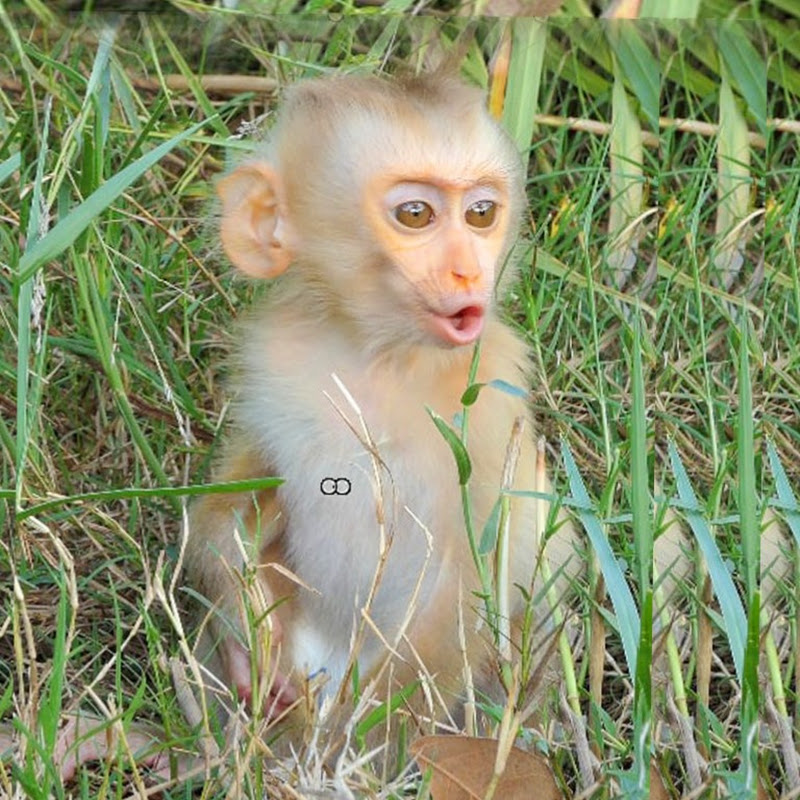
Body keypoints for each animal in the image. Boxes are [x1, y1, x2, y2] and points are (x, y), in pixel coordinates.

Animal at [184, 70, 580, 737]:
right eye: (415, 214)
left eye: (481, 213)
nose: (469, 273)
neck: (380, 359)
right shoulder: (273, 361)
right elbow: (236, 497)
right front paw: (245, 628)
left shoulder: (490, 399)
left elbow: (464, 590)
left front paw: (347, 744)